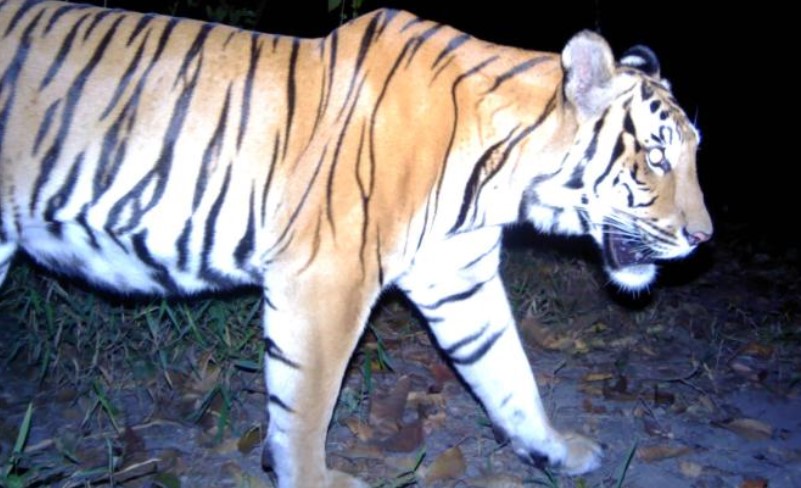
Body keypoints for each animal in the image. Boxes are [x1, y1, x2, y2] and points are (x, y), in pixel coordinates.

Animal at [0, 1, 713, 486]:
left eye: (691, 152)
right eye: (655, 156)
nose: (703, 238)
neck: (500, 175)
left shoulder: (459, 279)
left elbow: (508, 371)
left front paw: (554, 447)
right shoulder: (324, 279)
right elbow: (306, 406)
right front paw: (310, 479)